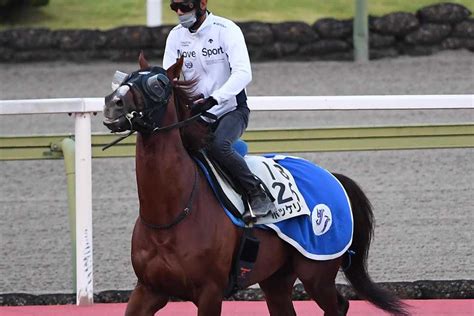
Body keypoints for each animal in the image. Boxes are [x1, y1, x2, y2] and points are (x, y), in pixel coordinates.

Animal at [103, 54, 408, 316]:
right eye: (125, 78)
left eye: (157, 84)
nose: (112, 103)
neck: (170, 215)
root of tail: (332, 176)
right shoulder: (148, 289)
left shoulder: (210, 292)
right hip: (277, 279)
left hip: (317, 272)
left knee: (339, 305)